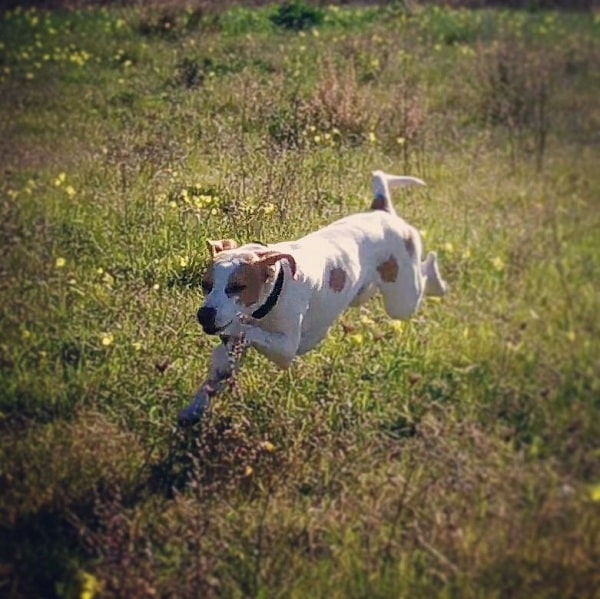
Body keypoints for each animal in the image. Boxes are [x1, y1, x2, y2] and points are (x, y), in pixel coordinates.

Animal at [177, 170, 446, 426]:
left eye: (237, 286)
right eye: (206, 285)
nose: (204, 315)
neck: (276, 285)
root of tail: (382, 211)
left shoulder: (285, 348)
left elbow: (247, 330)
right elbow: (219, 371)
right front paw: (193, 410)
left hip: (402, 300)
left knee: (423, 277)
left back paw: (438, 279)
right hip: (367, 293)